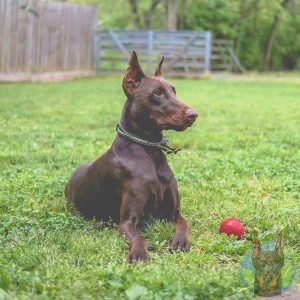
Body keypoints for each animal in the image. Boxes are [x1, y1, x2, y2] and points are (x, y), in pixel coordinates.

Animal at [64, 51, 198, 262]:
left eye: (174, 91)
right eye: (157, 93)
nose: (193, 114)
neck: (150, 151)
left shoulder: (173, 213)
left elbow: (184, 222)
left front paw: (180, 241)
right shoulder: (127, 221)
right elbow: (138, 236)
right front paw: (138, 254)